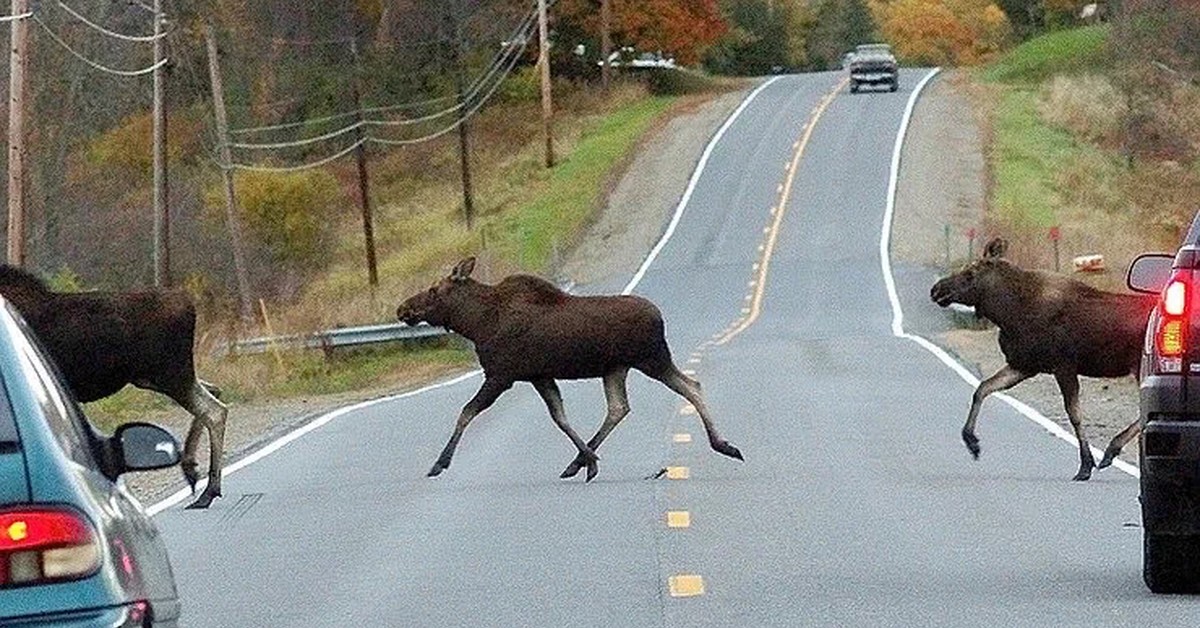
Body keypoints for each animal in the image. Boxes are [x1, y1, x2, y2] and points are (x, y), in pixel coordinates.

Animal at [0, 262, 226, 509]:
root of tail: (189, 305)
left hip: (171, 374)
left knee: (214, 410)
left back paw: (207, 490)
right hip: (154, 377)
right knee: (214, 392)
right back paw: (194, 472)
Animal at [398, 256, 744, 482]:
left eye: (434, 290)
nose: (403, 309)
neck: (475, 324)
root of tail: (660, 316)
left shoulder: (501, 375)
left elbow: (466, 412)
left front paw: (439, 463)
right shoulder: (538, 375)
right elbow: (560, 417)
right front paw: (589, 461)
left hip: (651, 359)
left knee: (690, 387)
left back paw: (724, 445)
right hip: (617, 367)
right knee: (620, 407)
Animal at [931, 238, 1156, 480]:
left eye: (970, 272)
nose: (936, 289)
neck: (1007, 314)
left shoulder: (1063, 365)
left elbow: (1074, 414)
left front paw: (1085, 465)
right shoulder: (1023, 365)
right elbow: (983, 388)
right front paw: (972, 442)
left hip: (1141, 368)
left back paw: (1111, 449)